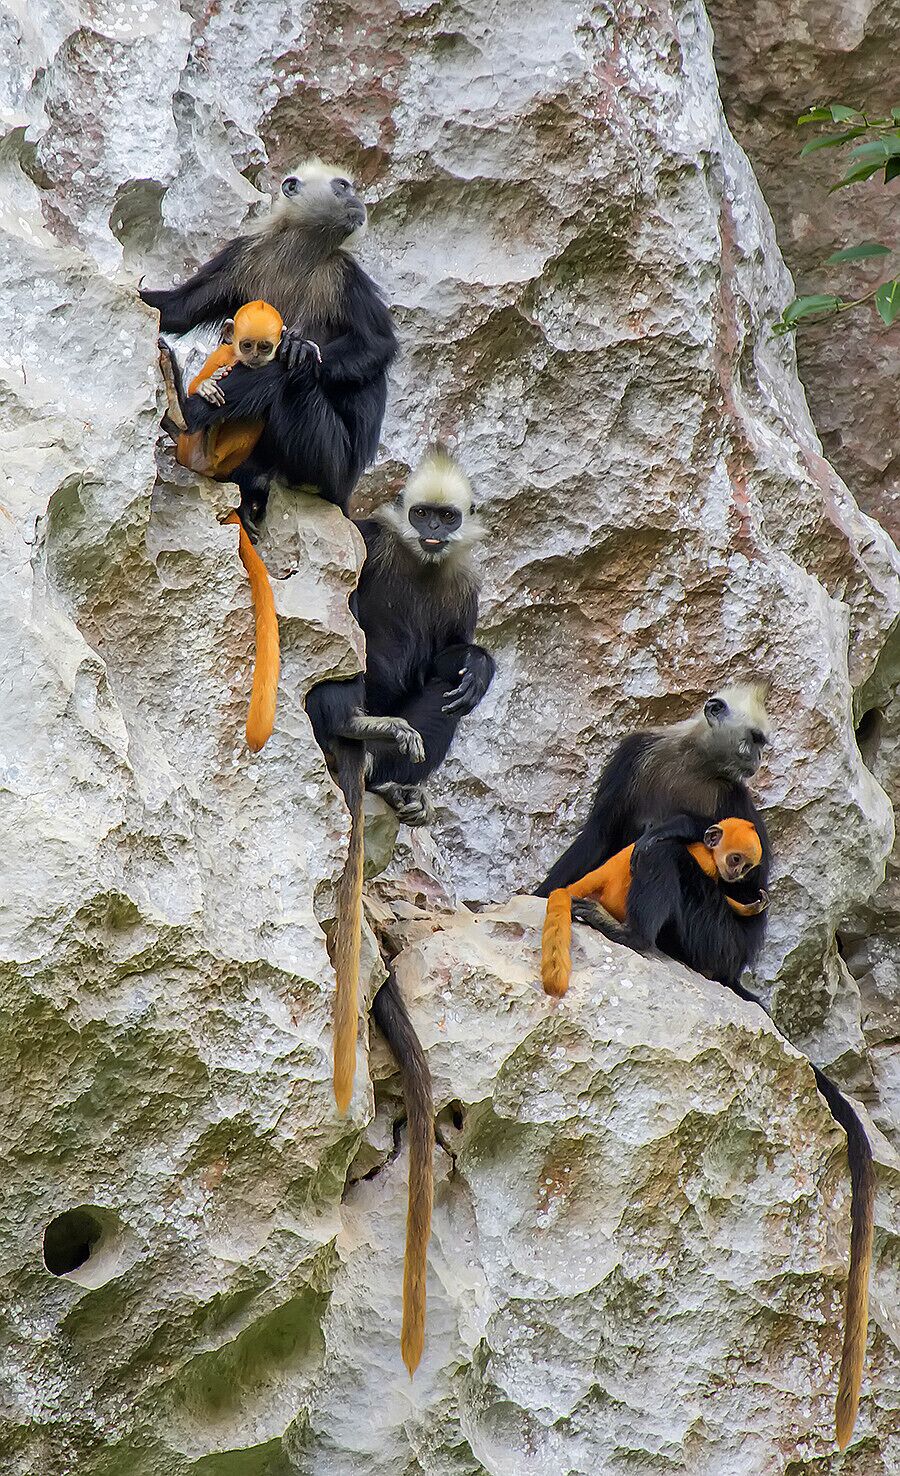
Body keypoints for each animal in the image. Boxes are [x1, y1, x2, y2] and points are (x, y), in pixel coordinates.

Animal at [176, 300, 284, 479]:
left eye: (264, 347)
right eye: (247, 345)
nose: (255, 356)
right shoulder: (222, 353)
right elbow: (194, 386)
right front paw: (204, 386)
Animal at [306, 448, 494, 1114]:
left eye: (446, 515)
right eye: (421, 515)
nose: (434, 531)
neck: (423, 561)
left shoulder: (466, 582)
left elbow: (455, 657)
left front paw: (480, 665)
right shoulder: (371, 536)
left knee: (443, 684)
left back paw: (394, 788)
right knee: (346, 632)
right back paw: (356, 722)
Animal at [541, 816, 767, 999]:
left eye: (746, 867)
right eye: (735, 859)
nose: (736, 873)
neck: (710, 853)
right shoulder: (707, 862)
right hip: (616, 897)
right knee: (662, 853)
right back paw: (631, 935)